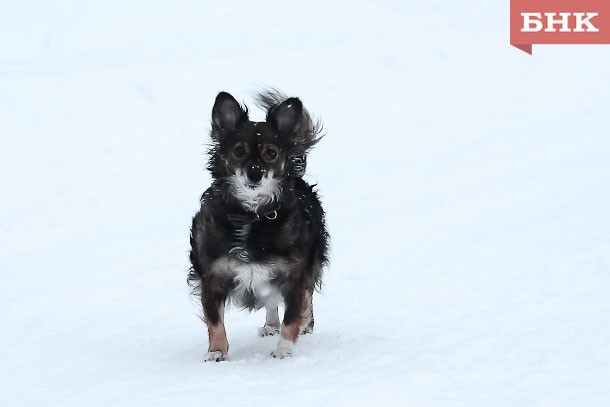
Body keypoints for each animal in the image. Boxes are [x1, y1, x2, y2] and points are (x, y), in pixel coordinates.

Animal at [188, 91, 328, 362]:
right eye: (238, 151)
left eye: (271, 153)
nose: (255, 173)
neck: (252, 216)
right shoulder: (212, 277)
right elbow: (215, 320)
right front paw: (216, 352)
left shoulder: (294, 275)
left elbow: (292, 316)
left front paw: (284, 350)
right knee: (271, 301)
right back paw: (270, 325)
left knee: (304, 299)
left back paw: (306, 322)